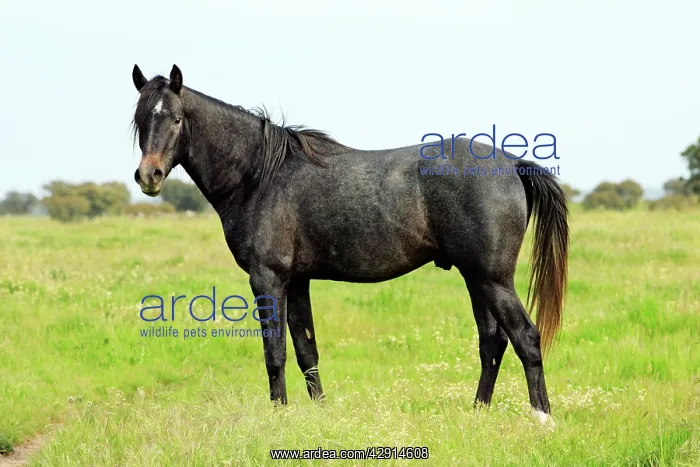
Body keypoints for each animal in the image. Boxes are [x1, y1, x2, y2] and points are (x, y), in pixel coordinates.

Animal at [130, 64, 569, 428]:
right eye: (140, 120)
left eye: (176, 118)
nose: (149, 176)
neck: (261, 174)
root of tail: (510, 163)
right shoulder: (297, 281)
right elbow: (306, 350)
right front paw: (319, 413)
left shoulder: (268, 278)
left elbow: (275, 352)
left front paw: (279, 414)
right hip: (476, 279)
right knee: (492, 342)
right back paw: (477, 413)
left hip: (492, 279)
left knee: (525, 337)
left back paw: (542, 420)